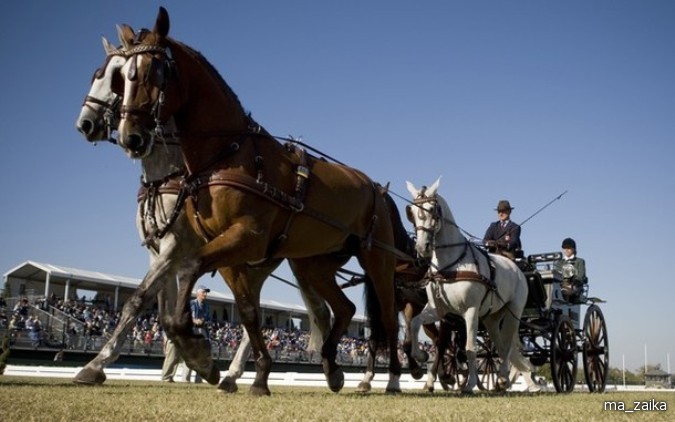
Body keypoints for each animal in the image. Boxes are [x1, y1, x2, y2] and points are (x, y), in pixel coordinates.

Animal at [74, 38, 330, 390]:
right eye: (98, 75)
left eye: (117, 79)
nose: (85, 123)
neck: (169, 177)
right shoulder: (159, 253)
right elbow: (161, 309)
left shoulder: (176, 248)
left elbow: (137, 301)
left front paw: (97, 363)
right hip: (253, 260)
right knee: (253, 312)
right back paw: (235, 374)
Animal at [115, 7, 402, 396]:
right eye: (122, 77)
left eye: (153, 71)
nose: (130, 137)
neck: (226, 153)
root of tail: (376, 188)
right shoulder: (229, 250)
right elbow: (248, 310)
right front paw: (257, 374)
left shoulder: (246, 236)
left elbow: (190, 267)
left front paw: (197, 351)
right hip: (315, 263)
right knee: (341, 308)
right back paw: (331, 366)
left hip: (377, 259)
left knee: (388, 317)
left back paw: (394, 378)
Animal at [404, 180, 540, 394]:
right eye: (411, 211)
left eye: (432, 209)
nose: (422, 248)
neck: (450, 266)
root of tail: (516, 268)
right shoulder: (438, 310)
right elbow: (416, 323)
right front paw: (421, 356)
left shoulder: (470, 311)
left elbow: (469, 348)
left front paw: (469, 384)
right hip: (492, 318)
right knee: (501, 346)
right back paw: (507, 381)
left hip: (514, 312)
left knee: (508, 344)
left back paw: (504, 378)